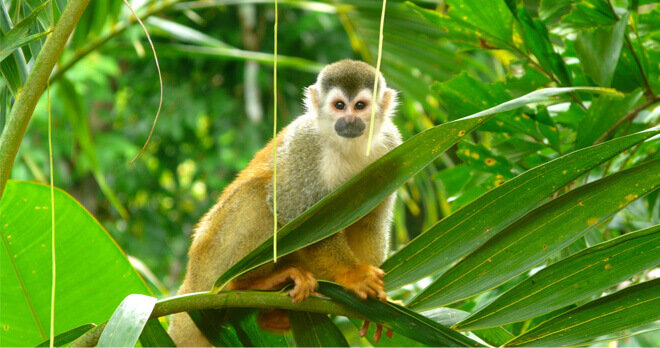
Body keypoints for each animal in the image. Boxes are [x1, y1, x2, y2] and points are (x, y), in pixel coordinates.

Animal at [170, 59, 402, 346]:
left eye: (360, 106)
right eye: (339, 105)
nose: (349, 121)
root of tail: (190, 282)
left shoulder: (393, 146)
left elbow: (371, 222)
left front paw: (375, 304)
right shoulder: (306, 145)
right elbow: (295, 214)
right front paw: (354, 274)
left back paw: (272, 317)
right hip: (210, 261)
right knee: (258, 199)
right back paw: (246, 284)